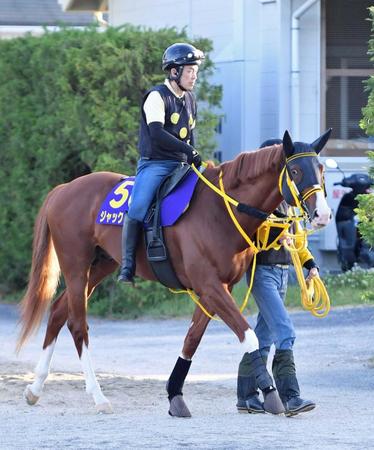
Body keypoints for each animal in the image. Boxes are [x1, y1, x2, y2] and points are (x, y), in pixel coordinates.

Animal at [19, 130, 332, 414]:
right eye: (295, 170)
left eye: (320, 169)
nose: (323, 214)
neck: (220, 209)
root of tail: (63, 189)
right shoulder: (210, 286)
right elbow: (248, 337)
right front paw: (270, 394)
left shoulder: (218, 288)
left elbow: (192, 340)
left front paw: (175, 396)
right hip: (76, 267)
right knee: (77, 324)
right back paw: (97, 395)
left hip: (100, 266)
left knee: (58, 311)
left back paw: (35, 388)